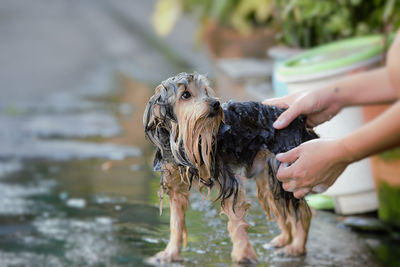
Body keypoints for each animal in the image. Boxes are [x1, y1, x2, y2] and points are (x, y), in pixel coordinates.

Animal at [142, 73, 318, 264]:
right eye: (185, 95)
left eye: (206, 91)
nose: (215, 104)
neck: (186, 141)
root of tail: (298, 120)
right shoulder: (175, 187)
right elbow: (176, 223)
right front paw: (170, 254)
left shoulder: (227, 181)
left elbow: (236, 222)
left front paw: (243, 255)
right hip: (269, 176)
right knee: (281, 207)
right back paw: (284, 240)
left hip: (285, 166)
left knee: (302, 213)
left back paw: (296, 248)